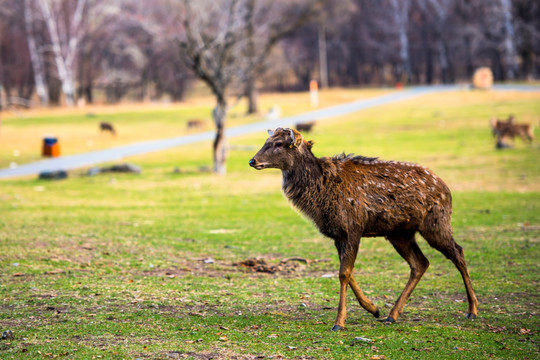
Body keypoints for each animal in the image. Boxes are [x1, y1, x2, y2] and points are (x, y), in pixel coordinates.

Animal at [248, 128, 476, 330]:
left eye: (279, 144)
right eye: (266, 141)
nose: (252, 161)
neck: (320, 198)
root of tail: (446, 188)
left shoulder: (353, 227)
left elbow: (343, 273)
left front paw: (339, 322)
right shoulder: (338, 235)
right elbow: (347, 273)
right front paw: (373, 309)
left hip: (436, 223)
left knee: (457, 252)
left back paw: (472, 310)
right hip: (399, 233)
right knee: (420, 263)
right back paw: (392, 315)